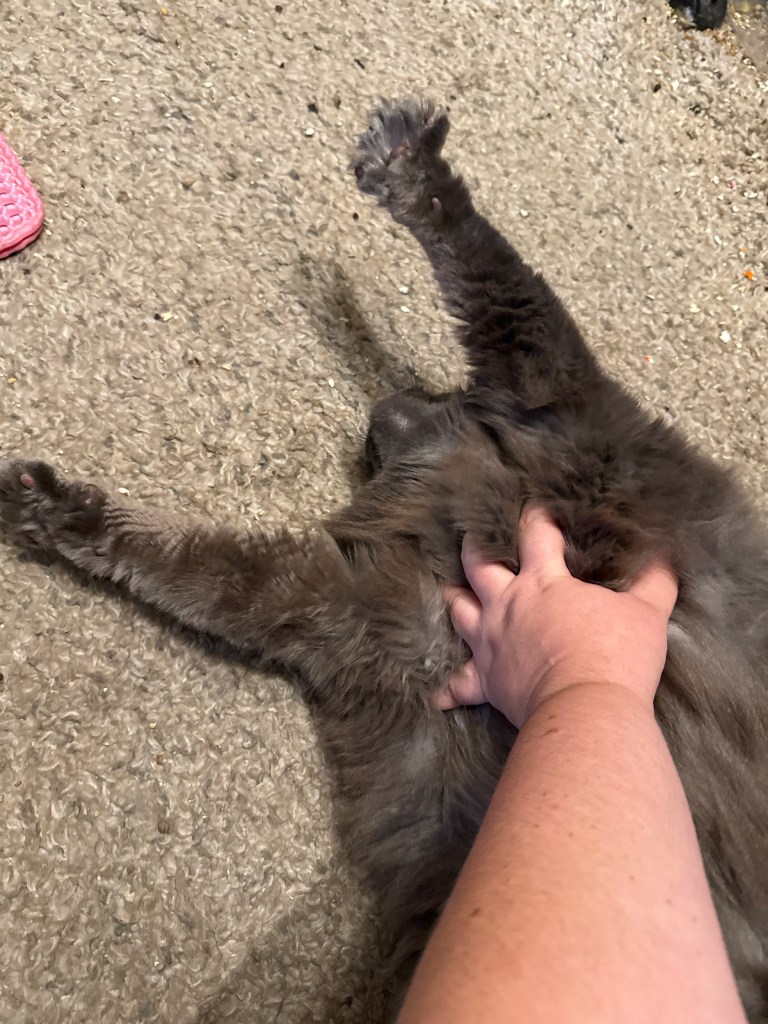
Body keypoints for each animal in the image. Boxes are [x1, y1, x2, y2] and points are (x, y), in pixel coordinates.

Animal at [1, 97, 766, 1020]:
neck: (462, 496)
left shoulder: (557, 402)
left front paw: (409, 172)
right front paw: (57, 512)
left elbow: (487, 267)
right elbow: (184, 562)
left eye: (429, 400)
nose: (383, 411)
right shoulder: (359, 602)